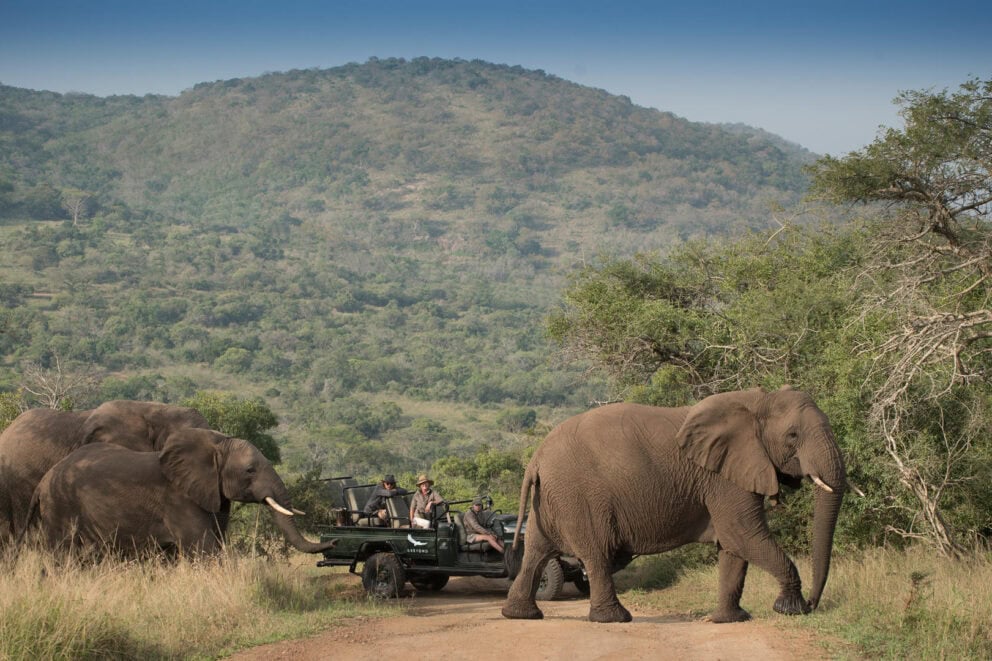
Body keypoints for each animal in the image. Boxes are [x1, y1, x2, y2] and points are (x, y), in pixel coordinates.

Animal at [25, 427, 336, 557]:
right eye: (250, 470)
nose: (333, 541)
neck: (216, 445)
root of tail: (42, 483)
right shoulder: (178, 499)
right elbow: (205, 549)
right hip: (60, 507)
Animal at [501, 387, 846, 624]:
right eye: (793, 435)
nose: (813, 605)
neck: (758, 401)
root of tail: (536, 458)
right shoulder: (722, 478)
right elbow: (743, 534)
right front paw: (790, 609)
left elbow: (733, 546)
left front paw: (728, 620)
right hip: (579, 496)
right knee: (596, 553)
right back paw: (615, 619)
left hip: (549, 500)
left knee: (536, 551)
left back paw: (520, 615)